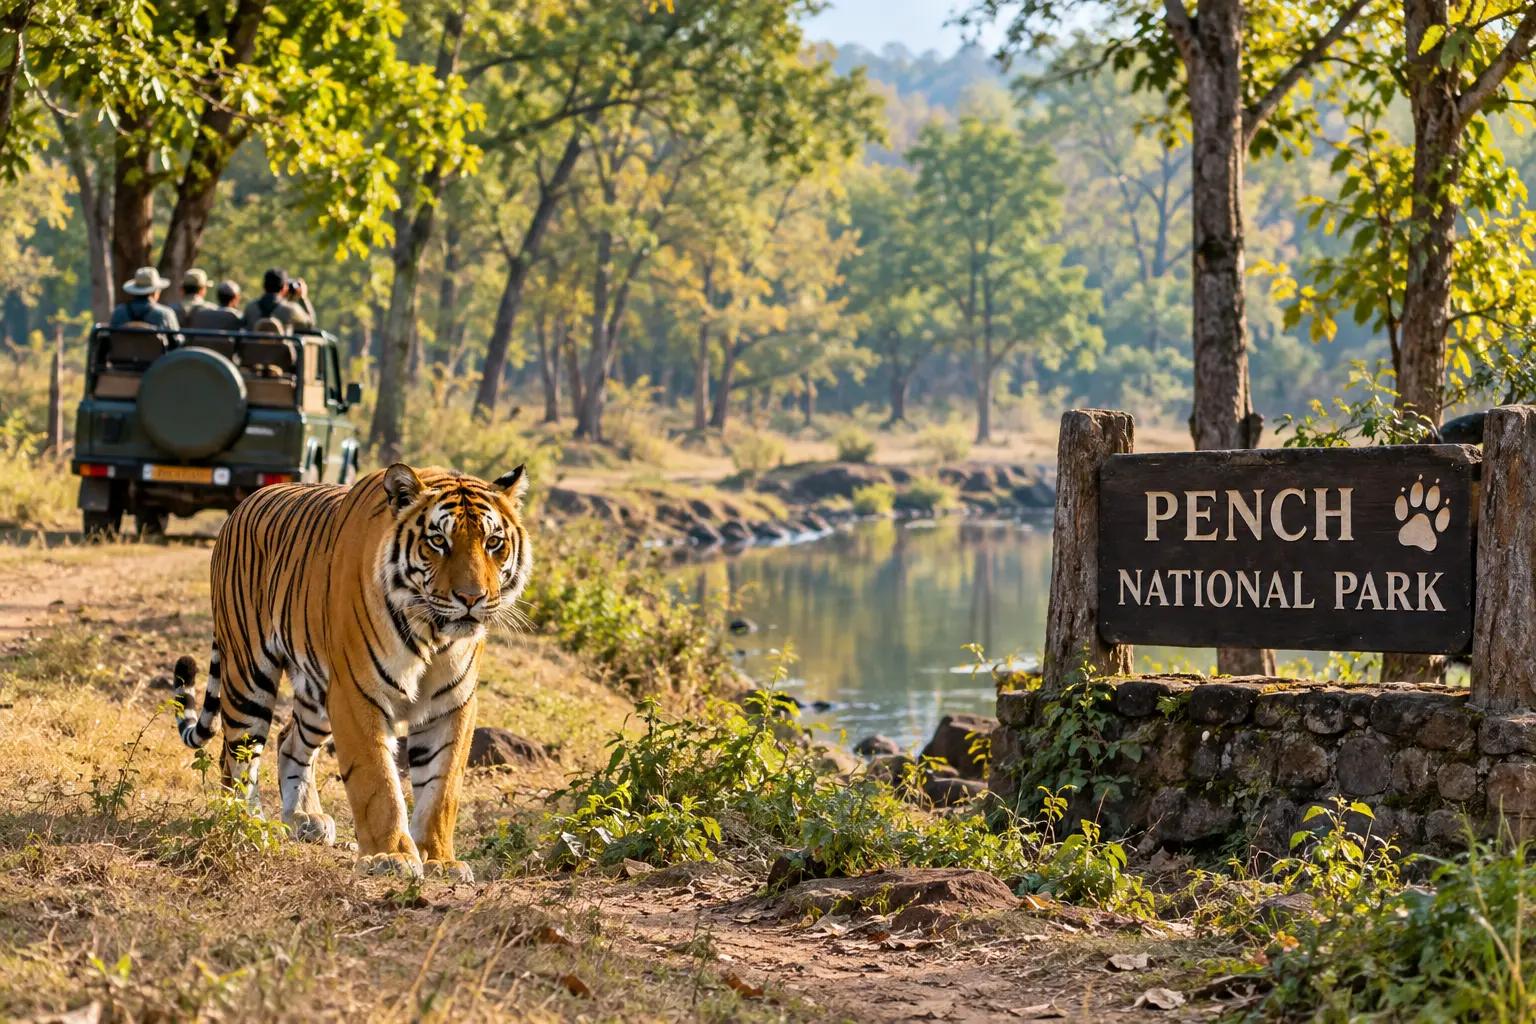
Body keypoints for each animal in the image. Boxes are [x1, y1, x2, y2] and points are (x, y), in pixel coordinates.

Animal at [169, 462, 532, 881]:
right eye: (438, 541)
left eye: (493, 542)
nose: (471, 598)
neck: (433, 635)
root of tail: (243, 505)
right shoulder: (358, 694)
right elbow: (378, 783)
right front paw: (390, 856)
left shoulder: (452, 705)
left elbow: (442, 789)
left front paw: (440, 860)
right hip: (250, 675)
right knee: (236, 756)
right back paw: (246, 824)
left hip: (317, 696)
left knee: (289, 740)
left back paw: (304, 818)